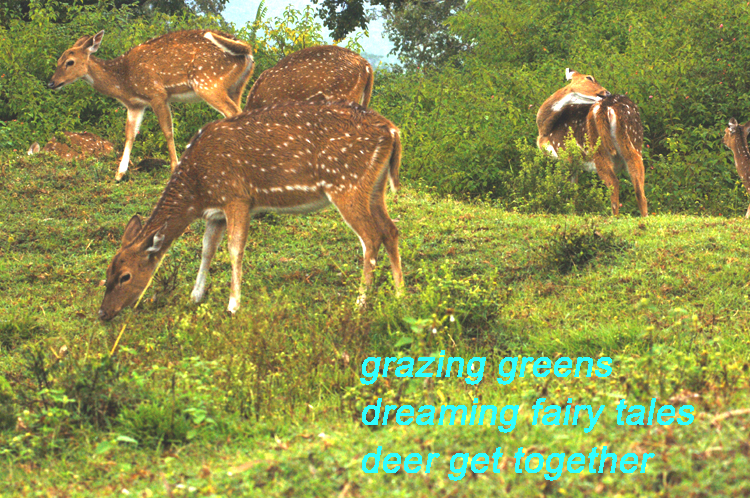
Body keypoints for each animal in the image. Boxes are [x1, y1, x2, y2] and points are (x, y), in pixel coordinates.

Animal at [49, 29, 254, 181]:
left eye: (70, 62)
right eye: (58, 60)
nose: (51, 83)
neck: (123, 82)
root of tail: (248, 51)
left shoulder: (157, 93)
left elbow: (168, 131)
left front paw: (174, 168)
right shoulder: (135, 105)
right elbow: (130, 134)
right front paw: (119, 174)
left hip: (208, 82)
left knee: (233, 113)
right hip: (236, 86)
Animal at [97, 100, 403, 321]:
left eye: (125, 276)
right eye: (107, 272)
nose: (102, 313)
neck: (197, 191)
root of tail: (392, 131)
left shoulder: (237, 197)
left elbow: (234, 249)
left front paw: (233, 305)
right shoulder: (215, 213)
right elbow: (207, 250)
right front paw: (195, 296)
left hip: (346, 183)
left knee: (371, 237)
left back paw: (360, 302)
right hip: (374, 188)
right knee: (391, 230)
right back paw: (401, 294)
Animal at [536, 68, 648, 217]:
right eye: (589, 78)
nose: (607, 92)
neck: (546, 130)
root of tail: (606, 107)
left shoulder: (564, 153)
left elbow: (563, 189)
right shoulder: (575, 163)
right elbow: (573, 191)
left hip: (598, 148)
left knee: (614, 182)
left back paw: (614, 217)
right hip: (634, 142)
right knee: (640, 189)